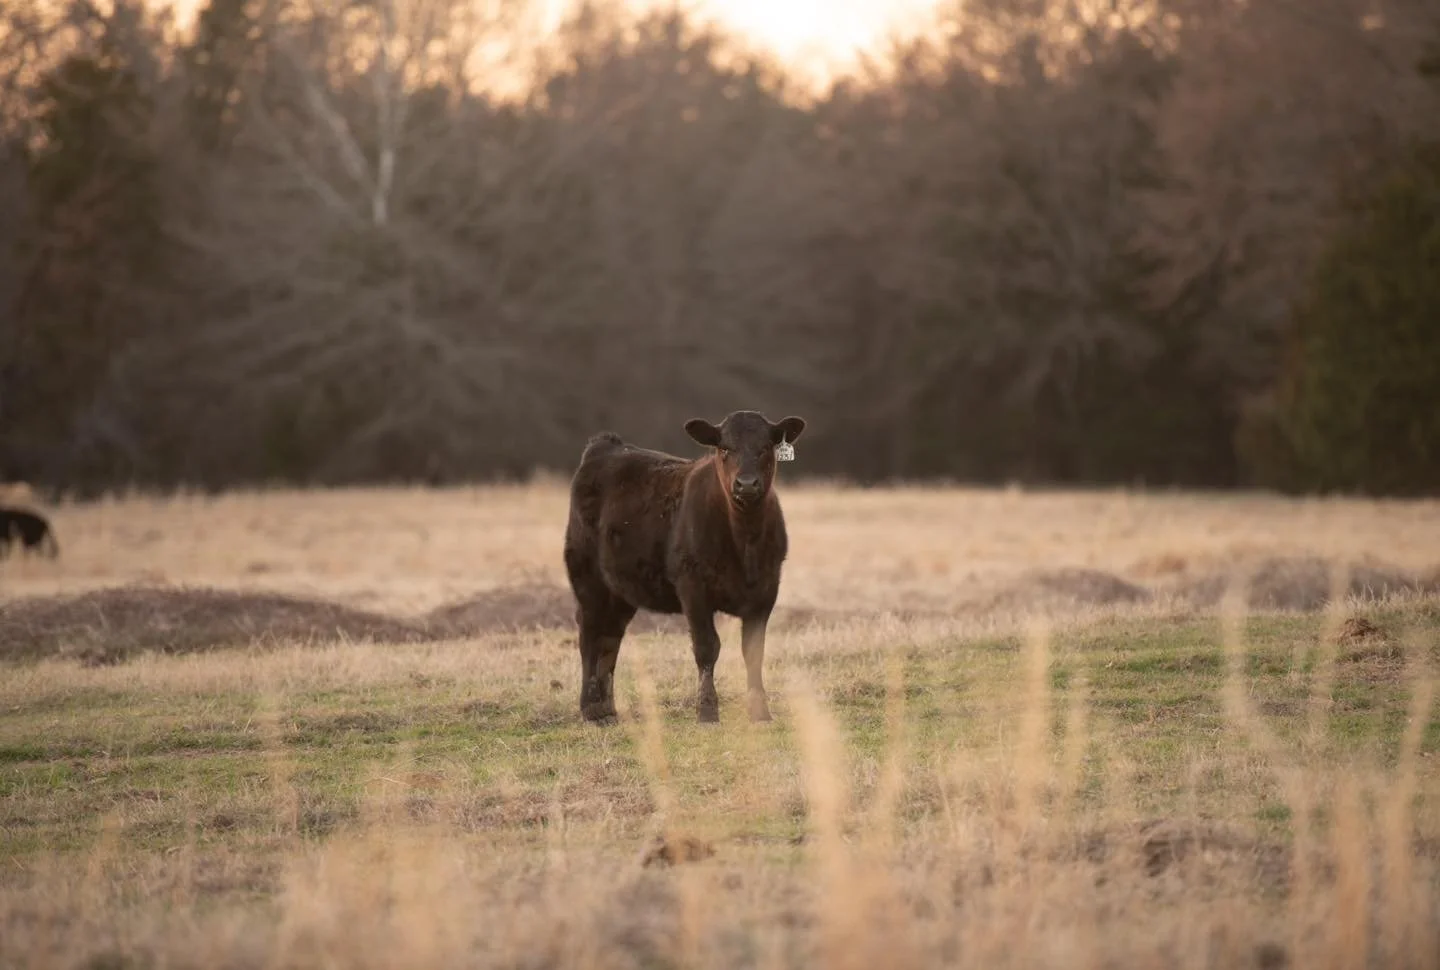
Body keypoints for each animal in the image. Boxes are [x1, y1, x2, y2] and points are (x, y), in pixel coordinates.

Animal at [562, 410, 807, 725]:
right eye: (724, 449)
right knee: (589, 632)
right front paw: (707, 710)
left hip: (620, 590)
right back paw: (591, 708)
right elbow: (707, 647)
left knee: (609, 637)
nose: (746, 484)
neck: (745, 542)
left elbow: (754, 651)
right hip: (587, 577)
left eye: (766, 447)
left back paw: (607, 710)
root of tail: (605, 446)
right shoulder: (693, 587)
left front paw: (760, 712)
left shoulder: (765, 590)